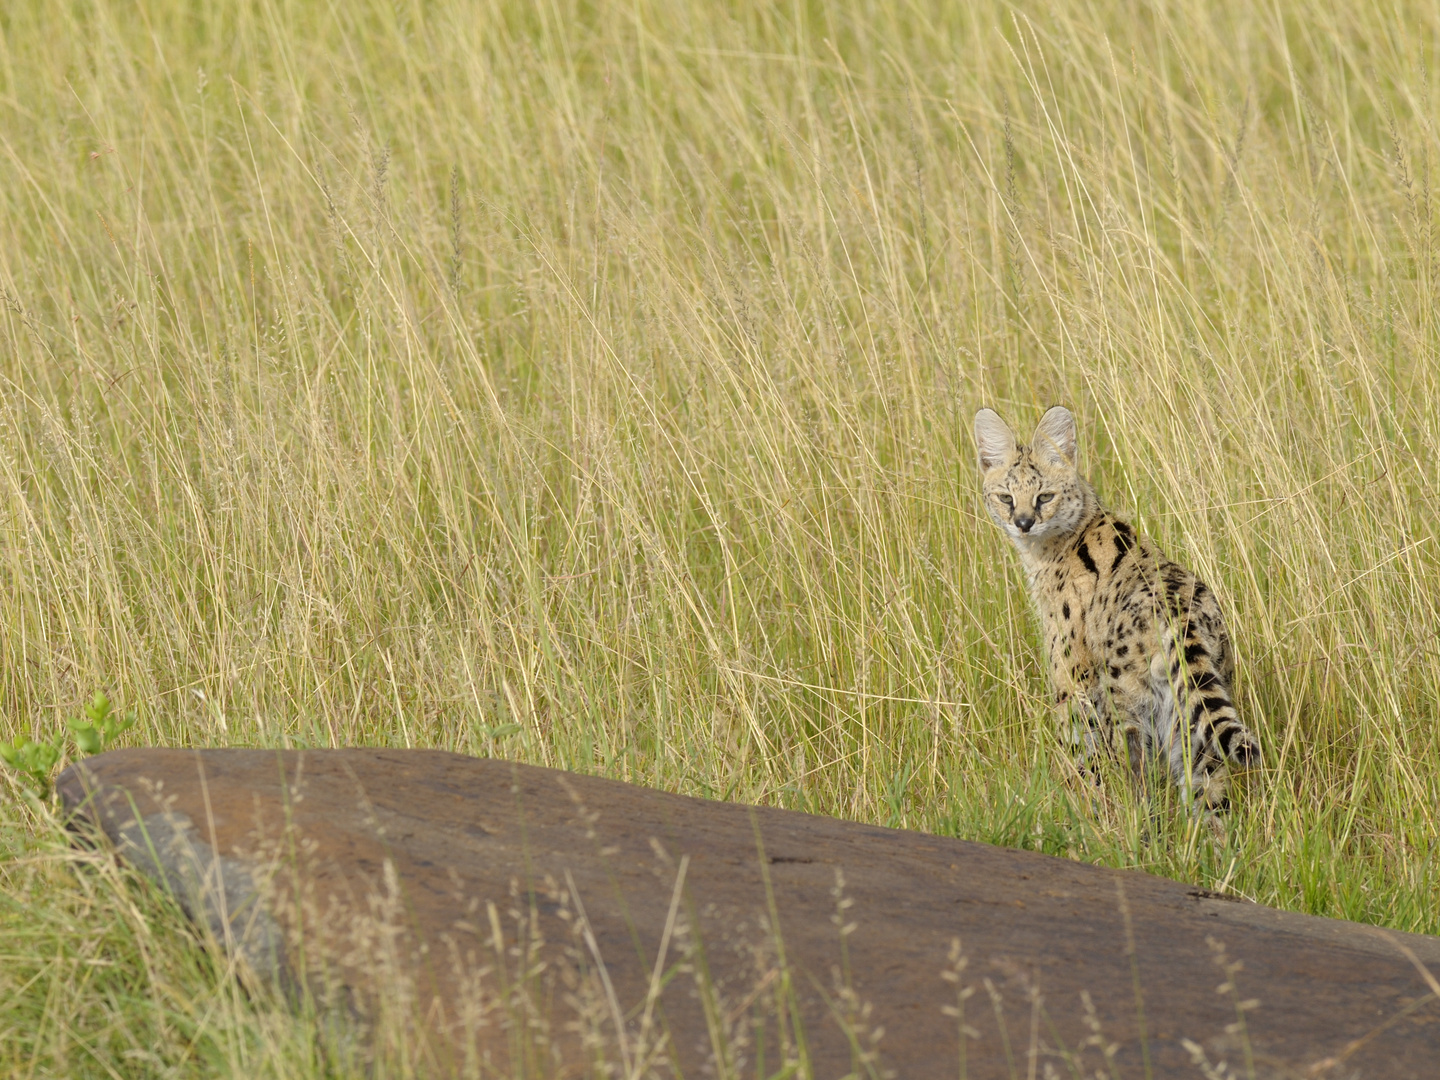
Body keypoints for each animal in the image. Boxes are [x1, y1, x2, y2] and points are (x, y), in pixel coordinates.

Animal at [973, 408, 1255, 817]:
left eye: (1044, 496)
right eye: (1005, 498)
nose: (1022, 523)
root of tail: (1177, 607)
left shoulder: (1073, 679)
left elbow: (1079, 755)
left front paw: (1083, 811)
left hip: (1128, 707)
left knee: (1137, 781)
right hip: (1196, 708)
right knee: (1211, 795)